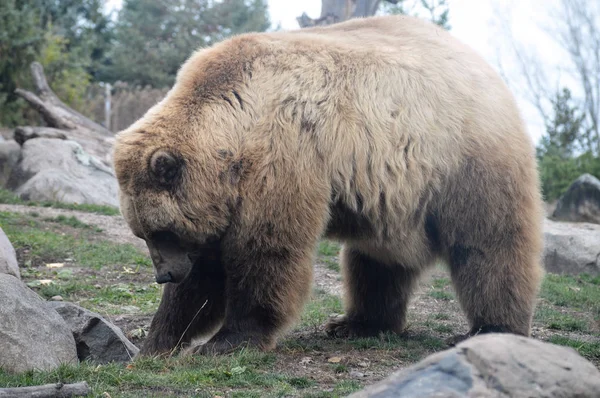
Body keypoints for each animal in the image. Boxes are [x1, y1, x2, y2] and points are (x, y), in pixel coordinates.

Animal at [115, 14, 548, 358]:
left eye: (162, 231)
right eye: (143, 233)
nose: (164, 275)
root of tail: (485, 66)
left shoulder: (282, 158)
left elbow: (266, 254)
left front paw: (228, 340)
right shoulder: (224, 197)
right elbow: (204, 273)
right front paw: (155, 343)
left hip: (463, 160)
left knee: (488, 244)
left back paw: (491, 327)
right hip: (391, 195)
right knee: (376, 261)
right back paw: (357, 323)